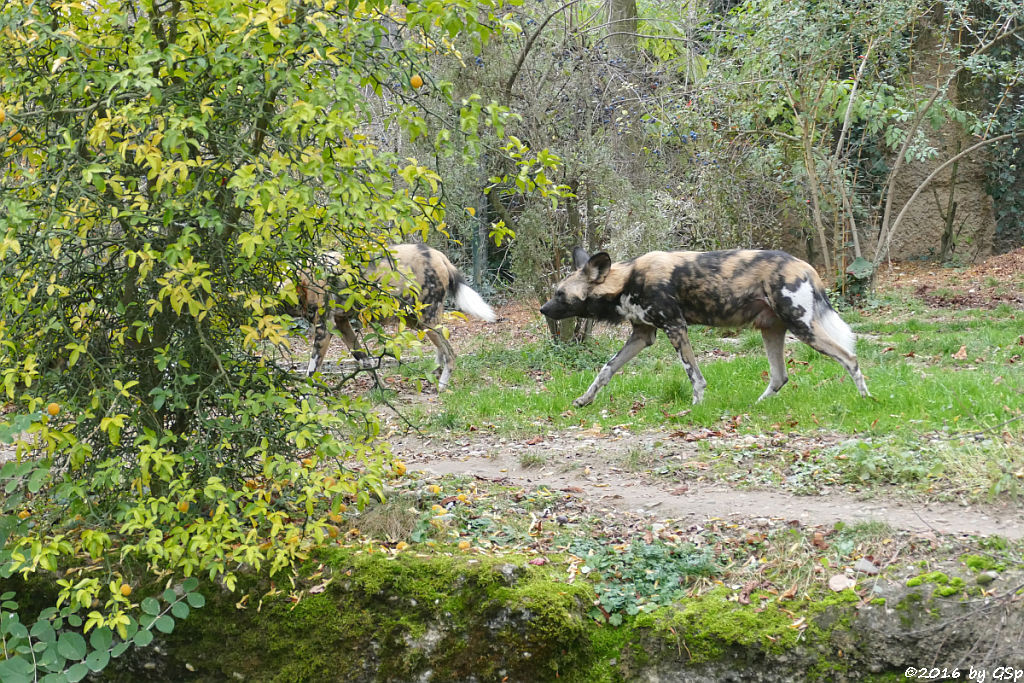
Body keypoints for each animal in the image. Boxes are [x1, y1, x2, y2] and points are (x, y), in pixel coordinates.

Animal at [299, 244, 497, 389]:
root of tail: (438, 255)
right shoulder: (342, 324)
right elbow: (365, 360)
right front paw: (379, 388)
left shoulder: (324, 329)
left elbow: (311, 370)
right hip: (417, 321)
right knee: (441, 345)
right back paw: (434, 374)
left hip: (425, 320)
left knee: (450, 352)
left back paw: (442, 385)